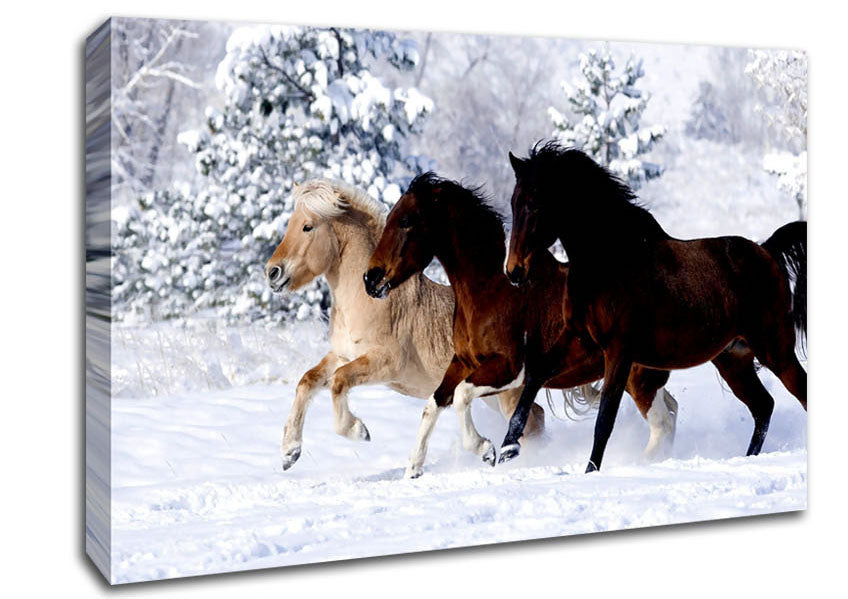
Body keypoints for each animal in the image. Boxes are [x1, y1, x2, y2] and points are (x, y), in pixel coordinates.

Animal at [264, 179, 545, 471]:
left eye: (307, 226)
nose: (272, 272)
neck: (368, 300)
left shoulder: (386, 363)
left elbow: (339, 381)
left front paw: (358, 430)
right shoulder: (342, 355)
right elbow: (307, 381)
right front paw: (289, 452)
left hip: (506, 393)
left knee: (531, 422)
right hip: (492, 395)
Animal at [364, 173, 680, 478]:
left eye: (406, 221)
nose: (371, 279)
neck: (490, 289)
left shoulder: (511, 369)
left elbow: (461, 396)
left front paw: (486, 450)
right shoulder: (463, 362)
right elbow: (435, 402)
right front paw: (413, 469)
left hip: (637, 377)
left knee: (662, 424)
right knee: (670, 412)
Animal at [504, 142, 807, 473]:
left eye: (535, 205)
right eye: (513, 203)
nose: (514, 271)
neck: (608, 261)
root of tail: (766, 251)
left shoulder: (619, 352)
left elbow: (604, 421)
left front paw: (590, 472)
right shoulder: (580, 340)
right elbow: (535, 376)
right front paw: (507, 447)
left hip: (775, 350)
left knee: (798, 392)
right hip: (734, 360)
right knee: (763, 406)